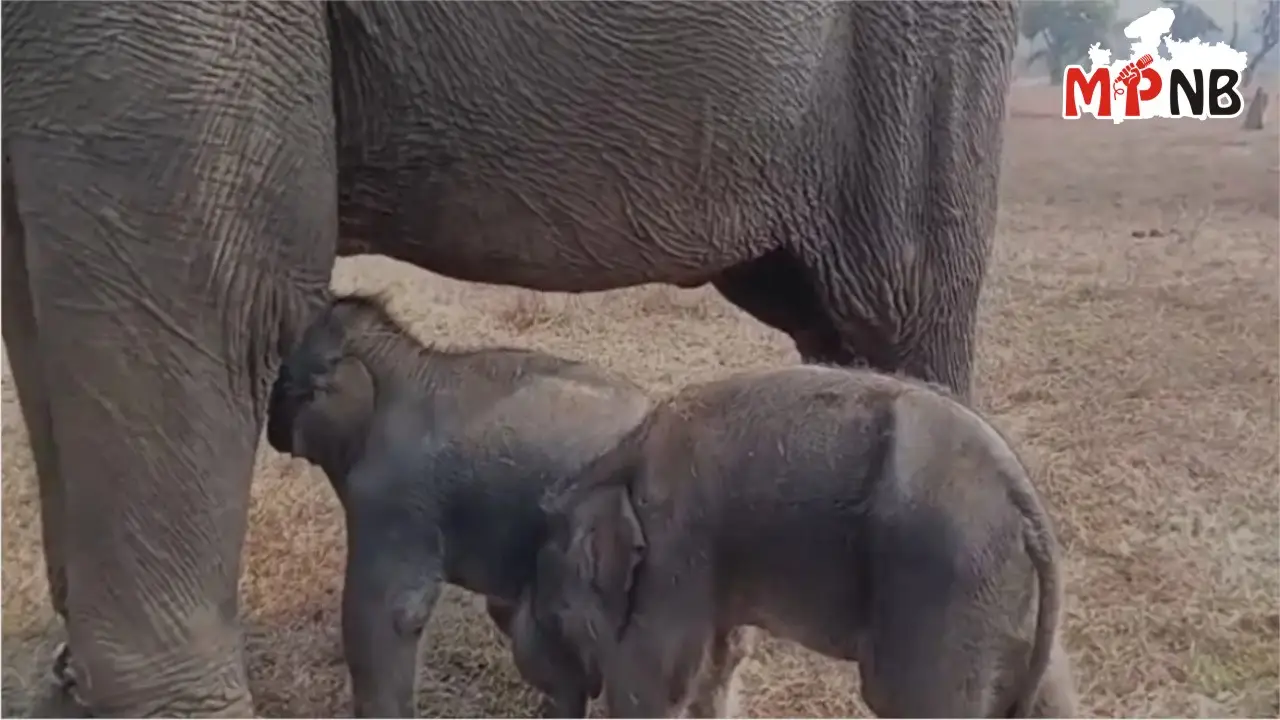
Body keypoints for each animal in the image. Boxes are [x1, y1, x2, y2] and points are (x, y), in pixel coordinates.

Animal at [513, 366, 1077, 718]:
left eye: (559, 616)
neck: (615, 460)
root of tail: (1022, 495)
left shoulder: (675, 548)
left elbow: (655, 684)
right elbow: (716, 667)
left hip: (948, 586)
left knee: (908, 701)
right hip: (1002, 598)